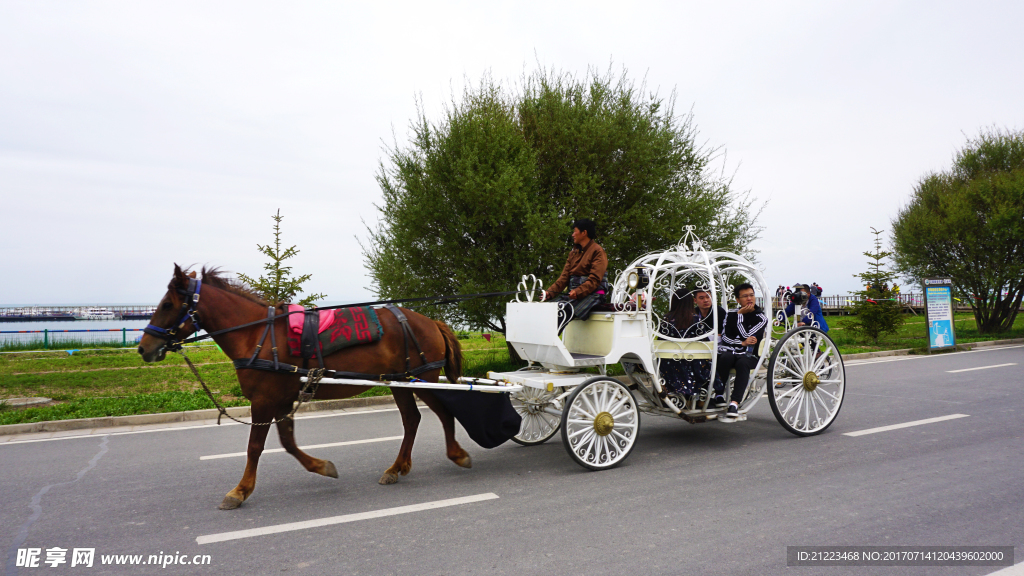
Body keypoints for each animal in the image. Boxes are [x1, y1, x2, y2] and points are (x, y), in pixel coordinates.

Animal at [138, 264, 468, 506]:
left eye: (167, 304)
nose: (143, 348)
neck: (257, 334)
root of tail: (430, 321)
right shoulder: (282, 400)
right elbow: (287, 442)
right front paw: (321, 466)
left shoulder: (264, 400)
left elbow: (255, 446)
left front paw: (241, 490)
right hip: (400, 382)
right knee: (412, 419)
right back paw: (397, 467)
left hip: (424, 379)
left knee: (442, 413)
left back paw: (456, 453)